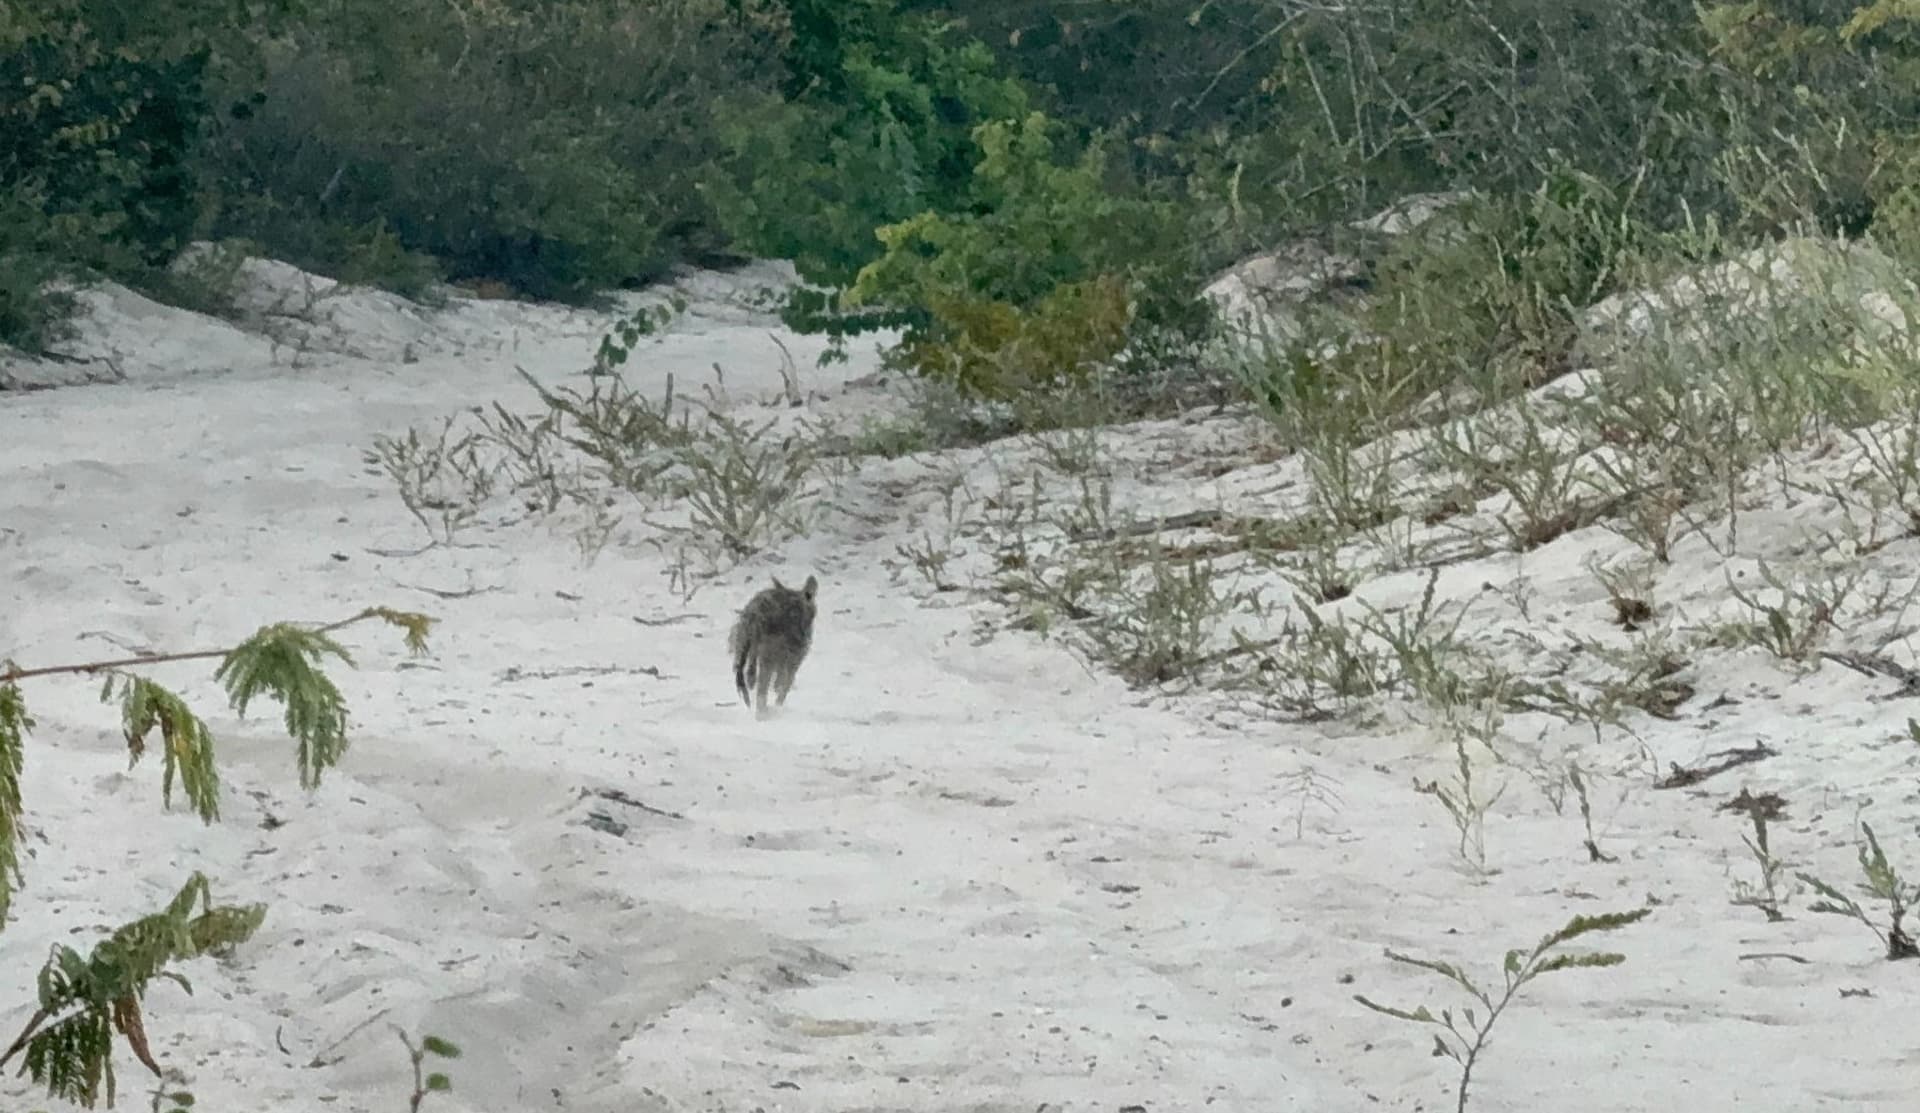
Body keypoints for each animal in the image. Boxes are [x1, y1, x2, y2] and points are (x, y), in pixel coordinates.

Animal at [728, 574, 818, 717]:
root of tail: (754, 614)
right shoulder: (795, 656)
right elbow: (785, 682)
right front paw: (778, 703)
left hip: (742, 643)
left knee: (748, 674)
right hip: (769, 652)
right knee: (763, 685)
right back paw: (763, 711)